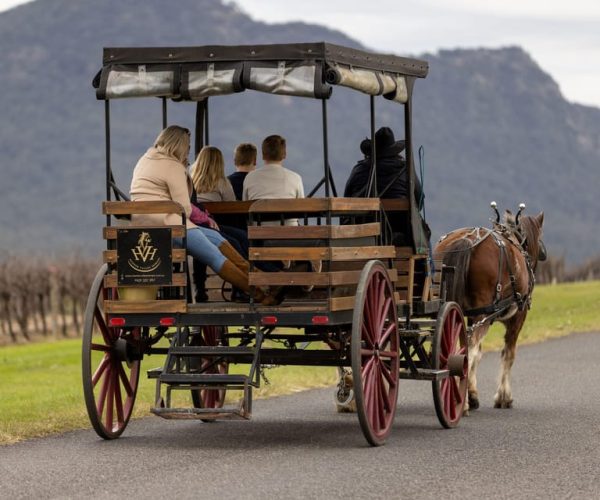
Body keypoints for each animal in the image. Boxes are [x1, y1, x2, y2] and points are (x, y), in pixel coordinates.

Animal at [434, 205, 548, 412]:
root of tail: (467, 239)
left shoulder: (472, 316)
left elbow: (479, 353)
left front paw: (472, 394)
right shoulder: (517, 317)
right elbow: (508, 354)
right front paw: (503, 397)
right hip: (483, 315)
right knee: (468, 352)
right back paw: (462, 406)